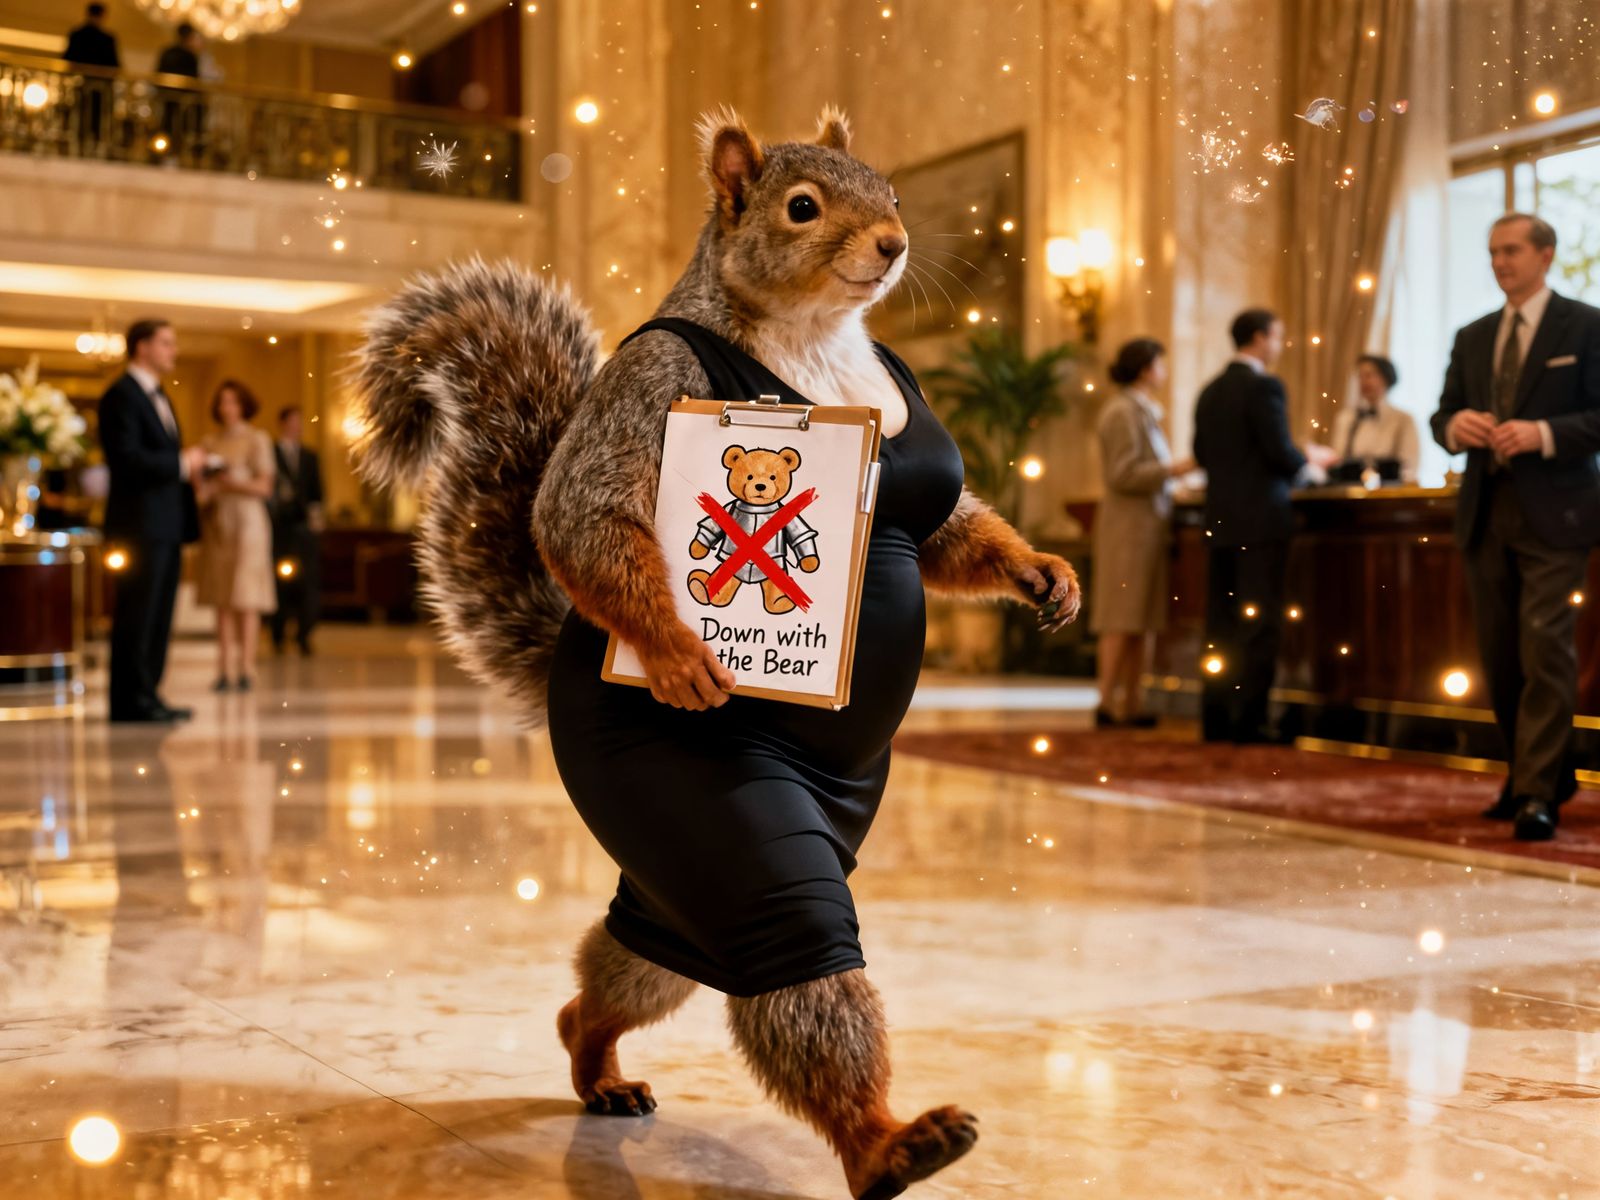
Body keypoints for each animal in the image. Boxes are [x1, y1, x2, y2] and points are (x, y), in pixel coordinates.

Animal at [687, 444, 820, 615]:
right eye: (749, 476)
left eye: (773, 477)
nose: (760, 485)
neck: (756, 507)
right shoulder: (727, 511)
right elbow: (713, 525)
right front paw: (697, 548)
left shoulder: (787, 516)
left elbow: (801, 536)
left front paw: (810, 562)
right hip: (731, 568)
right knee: (723, 580)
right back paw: (701, 587)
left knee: (774, 587)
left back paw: (783, 601)